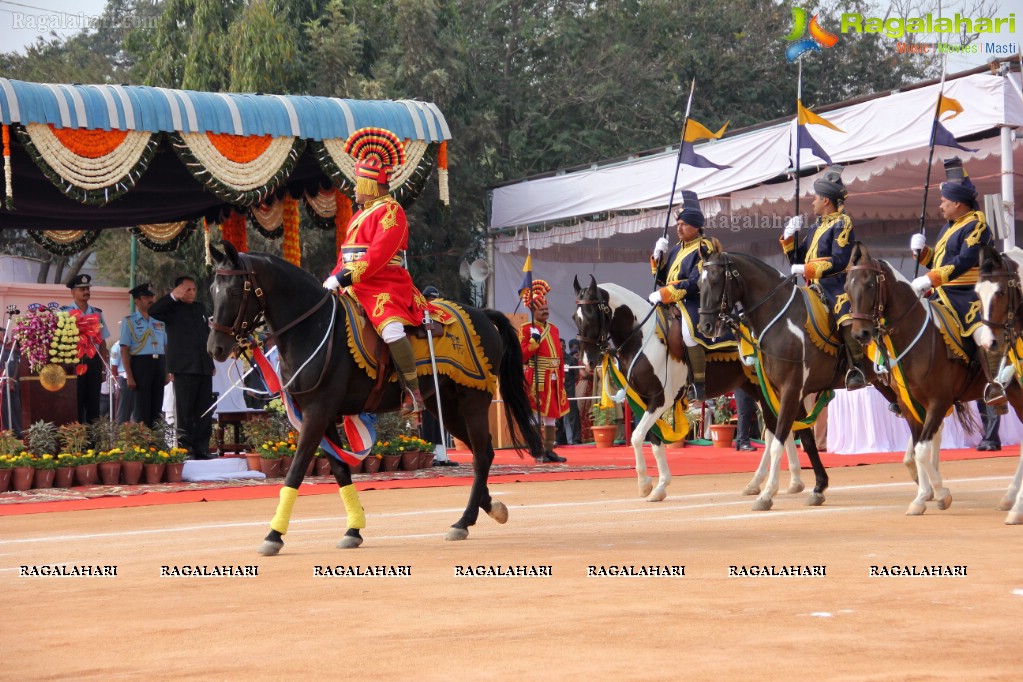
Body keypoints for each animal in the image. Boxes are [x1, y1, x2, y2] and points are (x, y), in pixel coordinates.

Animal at [207, 241, 544, 556]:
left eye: (235, 291)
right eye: (212, 290)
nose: (215, 348)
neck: (312, 328)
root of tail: (481, 314)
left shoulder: (317, 413)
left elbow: (296, 469)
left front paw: (274, 534)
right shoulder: (322, 416)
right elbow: (340, 470)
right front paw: (354, 528)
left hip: (472, 401)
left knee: (482, 455)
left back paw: (463, 521)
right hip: (446, 406)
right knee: (482, 452)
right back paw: (489, 508)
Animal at [572, 274, 826, 509]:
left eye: (592, 315)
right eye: (576, 317)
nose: (587, 361)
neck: (642, 338)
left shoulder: (660, 399)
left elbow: (636, 437)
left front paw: (648, 484)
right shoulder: (644, 400)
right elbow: (653, 439)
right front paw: (655, 486)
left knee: (786, 428)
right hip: (758, 389)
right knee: (778, 429)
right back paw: (772, 482)